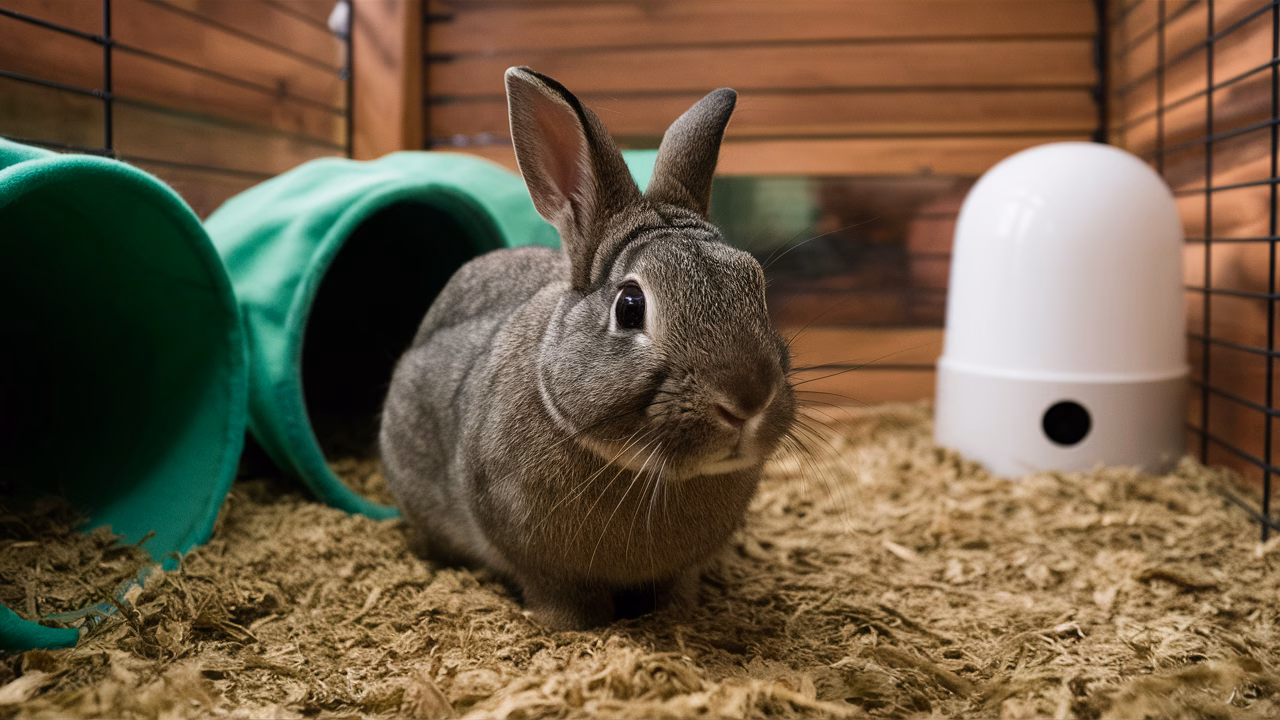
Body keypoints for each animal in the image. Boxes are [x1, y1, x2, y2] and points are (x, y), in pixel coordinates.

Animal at [379, 66, 796, 630]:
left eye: (757, 287)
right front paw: (570, 627)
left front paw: (678, 615)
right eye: (630, 306)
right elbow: (560, 596)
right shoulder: (537, 559)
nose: (748, 401)